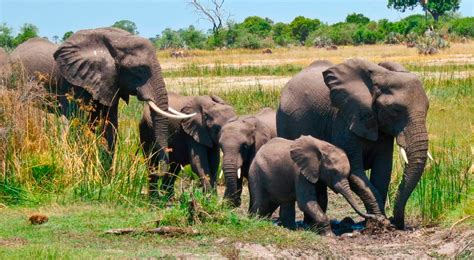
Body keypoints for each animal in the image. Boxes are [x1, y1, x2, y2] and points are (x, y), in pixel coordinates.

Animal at [248, 136, 378, 236]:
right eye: (333, 172)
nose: (374, 217)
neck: (322, 148)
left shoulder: (317, 173)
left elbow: (320, 198)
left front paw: (315, 230)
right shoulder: (300, 172)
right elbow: (306, 202)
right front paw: (329, 236)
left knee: (281, 204)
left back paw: (289, 229)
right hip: (256, 173)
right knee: (261, 204)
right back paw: (257, 221)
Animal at [276, 58, 432, 229]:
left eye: (427, 108)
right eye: (395, 110)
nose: (396, 222)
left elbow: (382, 171)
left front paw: (376, 222)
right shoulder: (343, 119)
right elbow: (355, 171)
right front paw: (379, 222)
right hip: (283, 122)